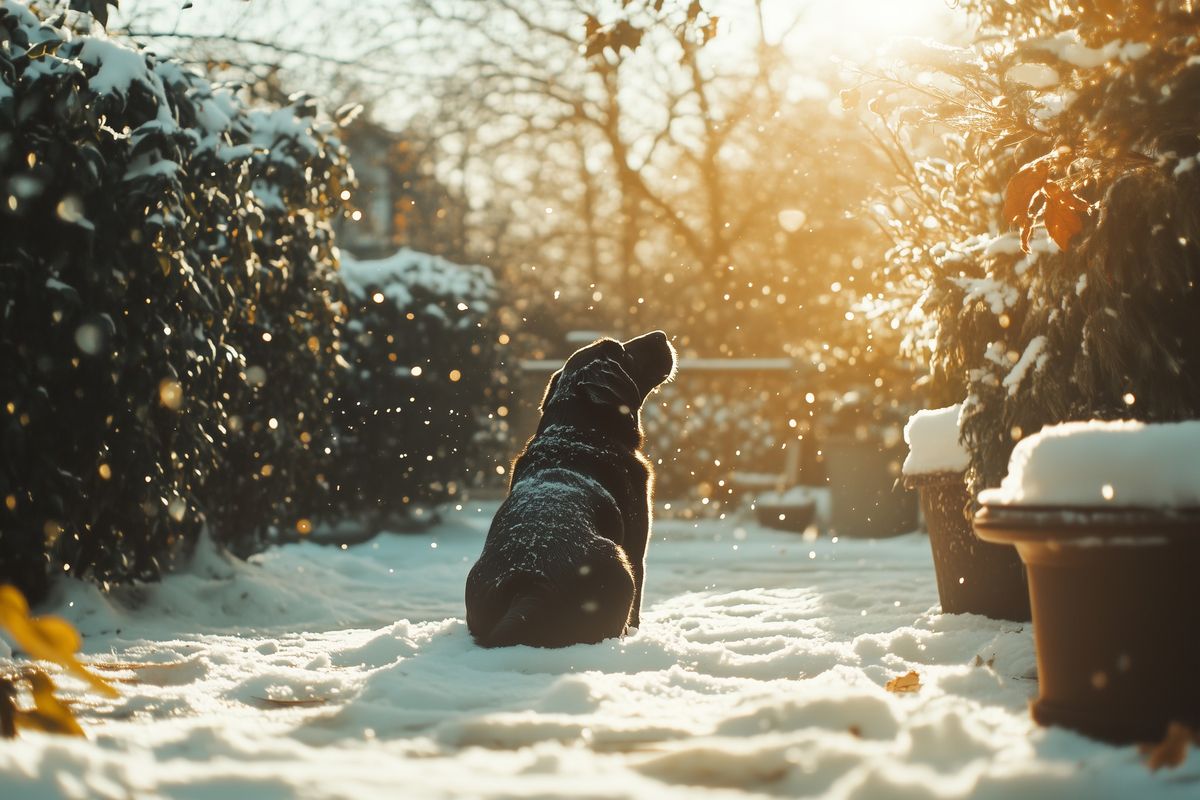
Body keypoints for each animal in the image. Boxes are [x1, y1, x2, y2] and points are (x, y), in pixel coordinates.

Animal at [465, 328, 681, 647]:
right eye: (620, 350)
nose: (660, 334)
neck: (575, 431)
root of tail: (530, 584)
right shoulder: (637, 544)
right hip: (622, 565)